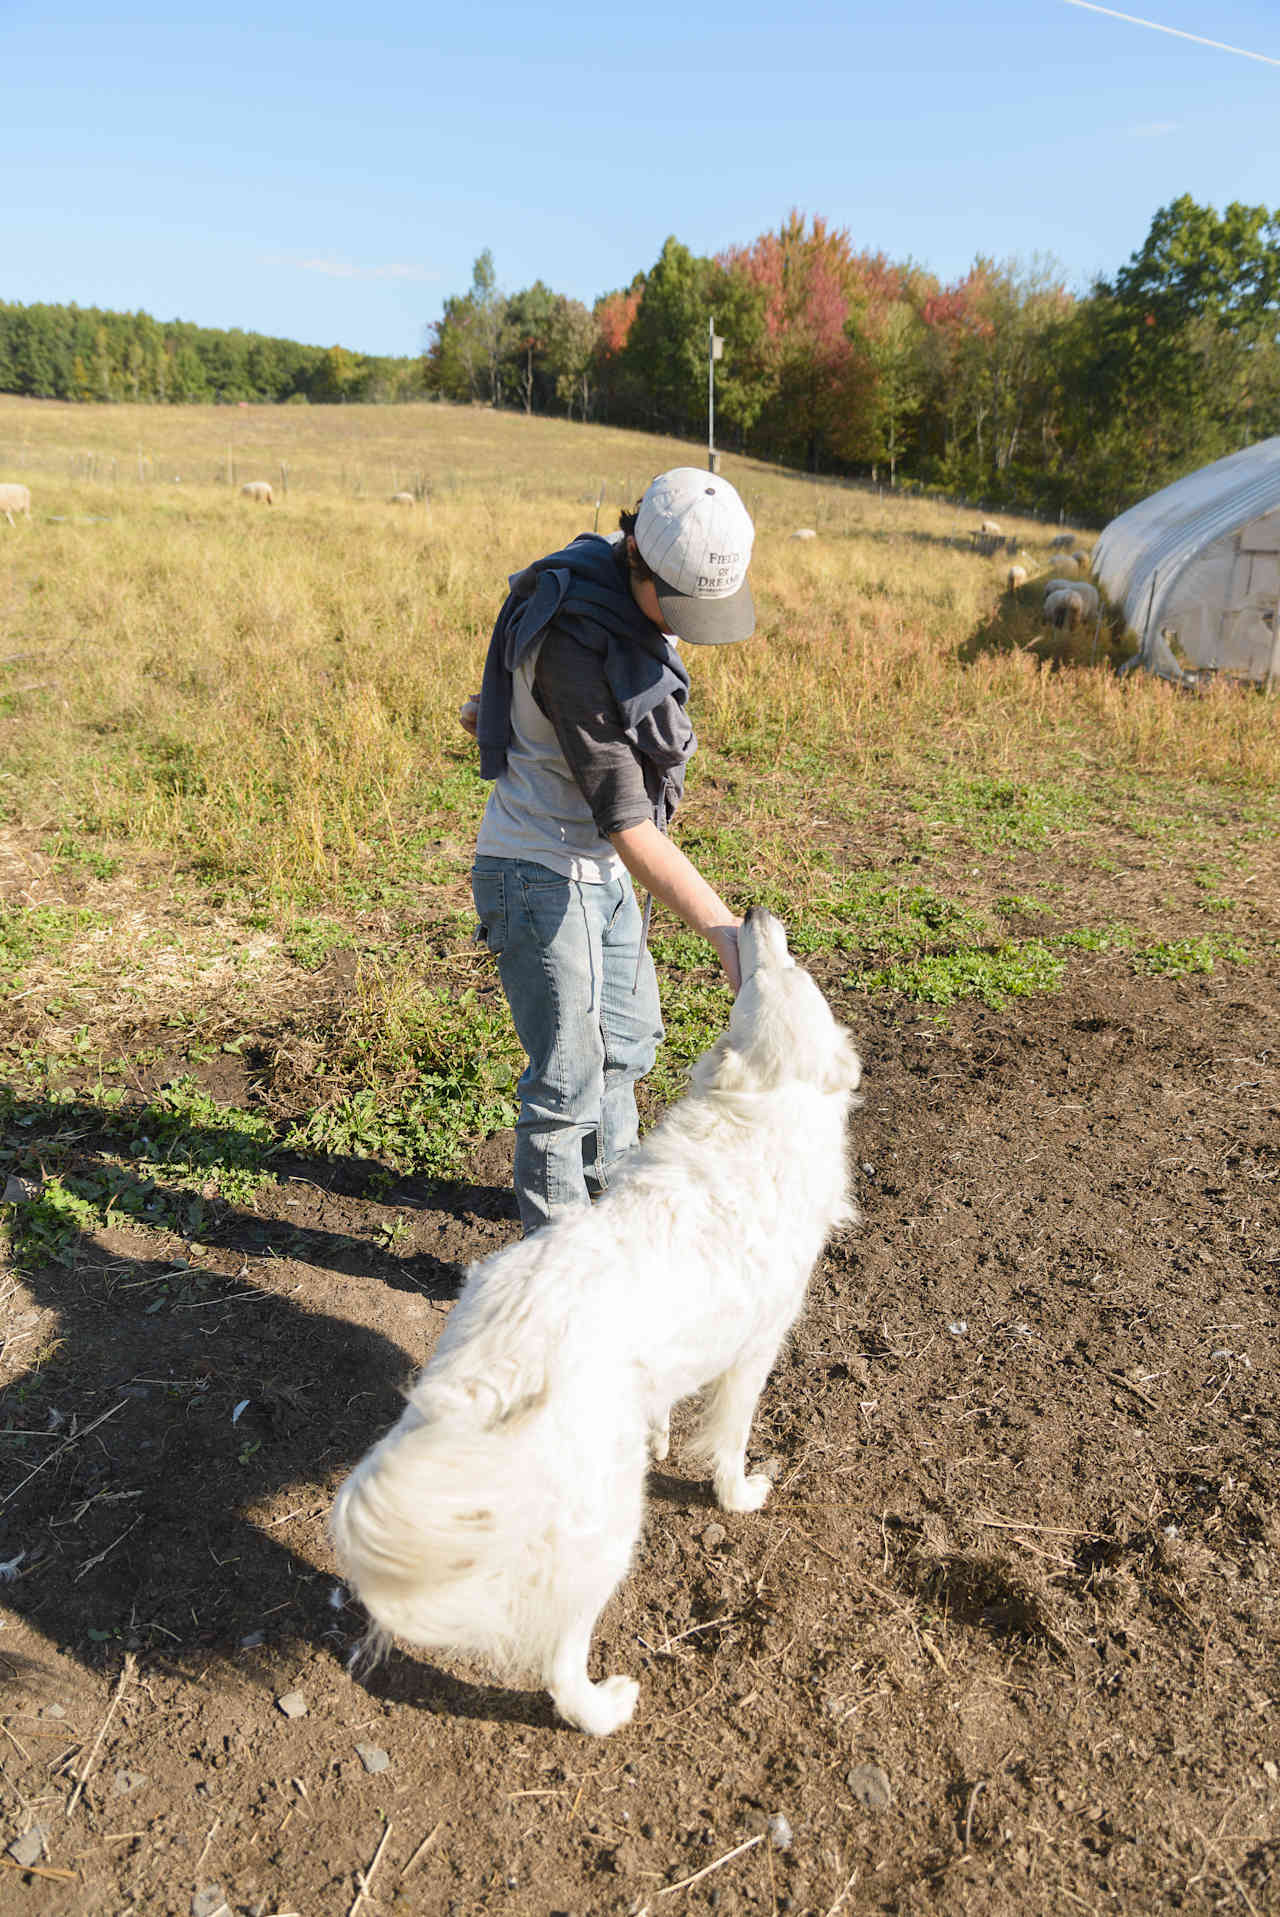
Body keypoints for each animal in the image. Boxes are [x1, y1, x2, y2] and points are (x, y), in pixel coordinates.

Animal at [335, 904, 866, 1732]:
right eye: (788, 967)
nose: (751, 913)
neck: (762, 1106)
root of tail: (504, 1360)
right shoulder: (756, 1349)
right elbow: (731, 1440)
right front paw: (739, 1493)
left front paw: (662, 1434)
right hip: (610, 1530)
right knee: (559, 1653)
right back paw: (602, 1707)